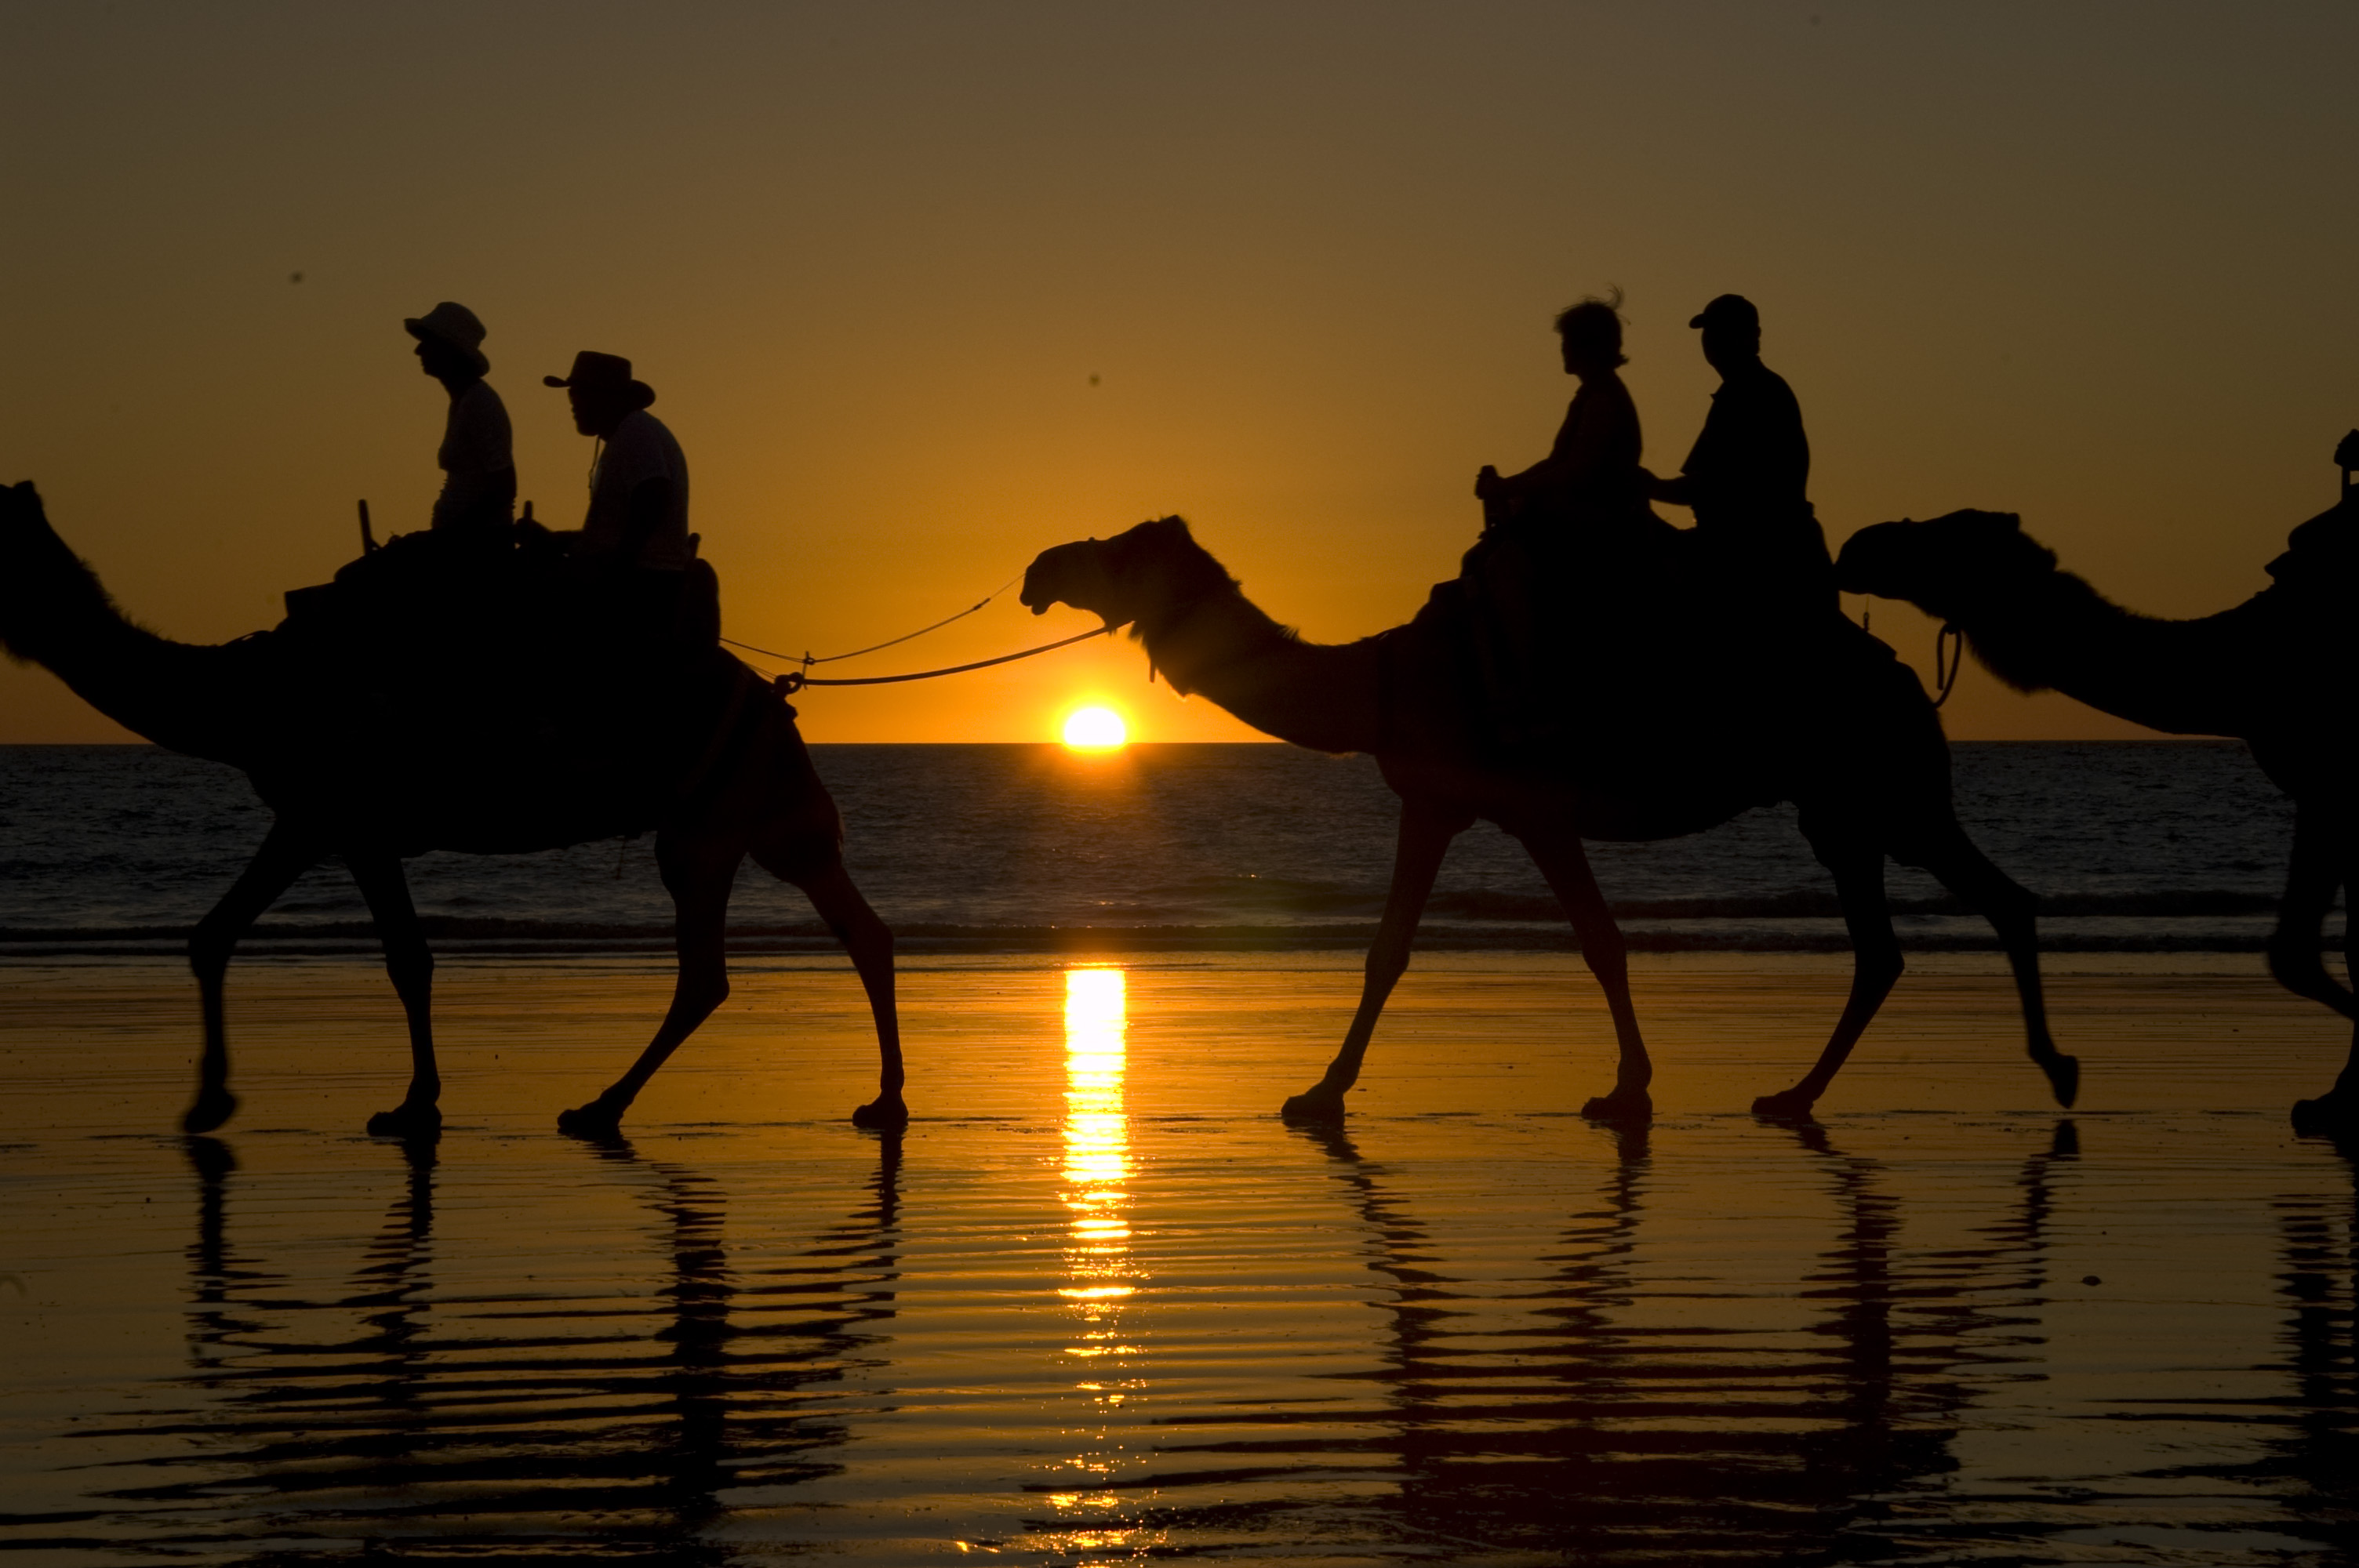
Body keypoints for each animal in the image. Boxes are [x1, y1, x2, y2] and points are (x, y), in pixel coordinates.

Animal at [0, 476, 906, 1136]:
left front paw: (403, 1106)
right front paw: (220, 1100)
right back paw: (880, 1099)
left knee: (707, 970)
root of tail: (772, 699)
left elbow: (401, 957)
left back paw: (601, 1107)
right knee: (851, 929)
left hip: (706, 823)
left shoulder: (337, 816)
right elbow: (222, 934)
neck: (249, 693)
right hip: (764, 814)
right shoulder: (324, 820)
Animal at [1023, 514, 2076, 1112]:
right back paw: (1802, 1091)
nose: (1038, 569)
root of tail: (1911, 679)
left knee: (1969, 910)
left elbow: (1566, 941)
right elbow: (1430, 946)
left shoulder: (1505, 806)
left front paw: (1318, 1092)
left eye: (1115, 553)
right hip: (1849, 805)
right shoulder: (1451, 803)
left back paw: (2034, 1067)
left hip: (1876, 791)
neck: (1380, 681)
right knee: (1904, 938)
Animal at [1840, 506, 2359, 1131]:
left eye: (1948, 536)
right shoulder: (2329, 789)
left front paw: (2346, 1093)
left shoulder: (2329, 782)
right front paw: (2342, 1093)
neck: (2231, 670)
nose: (1858, 544)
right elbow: (2316, 949)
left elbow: (2310, 951)